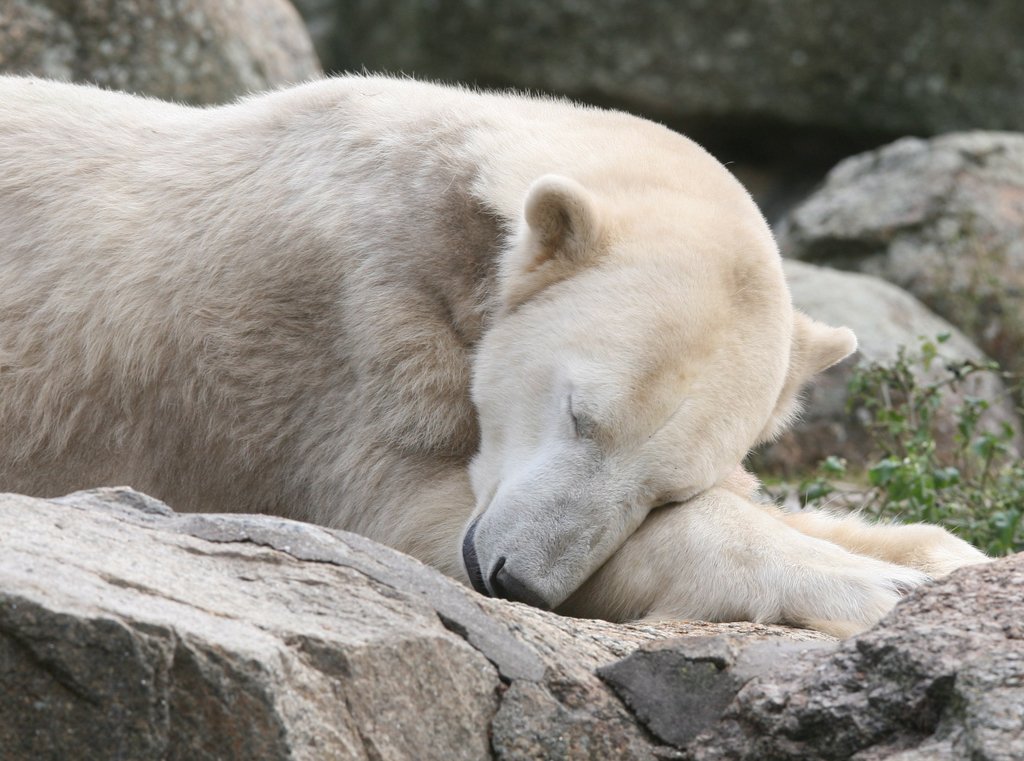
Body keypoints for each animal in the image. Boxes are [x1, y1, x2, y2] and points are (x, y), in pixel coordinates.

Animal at [0, 75, 986, 637]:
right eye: (581, 415)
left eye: (670, 485)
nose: (512, 579)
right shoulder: (337, 331)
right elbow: (400, 509)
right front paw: (877, 584)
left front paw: (939, 553)